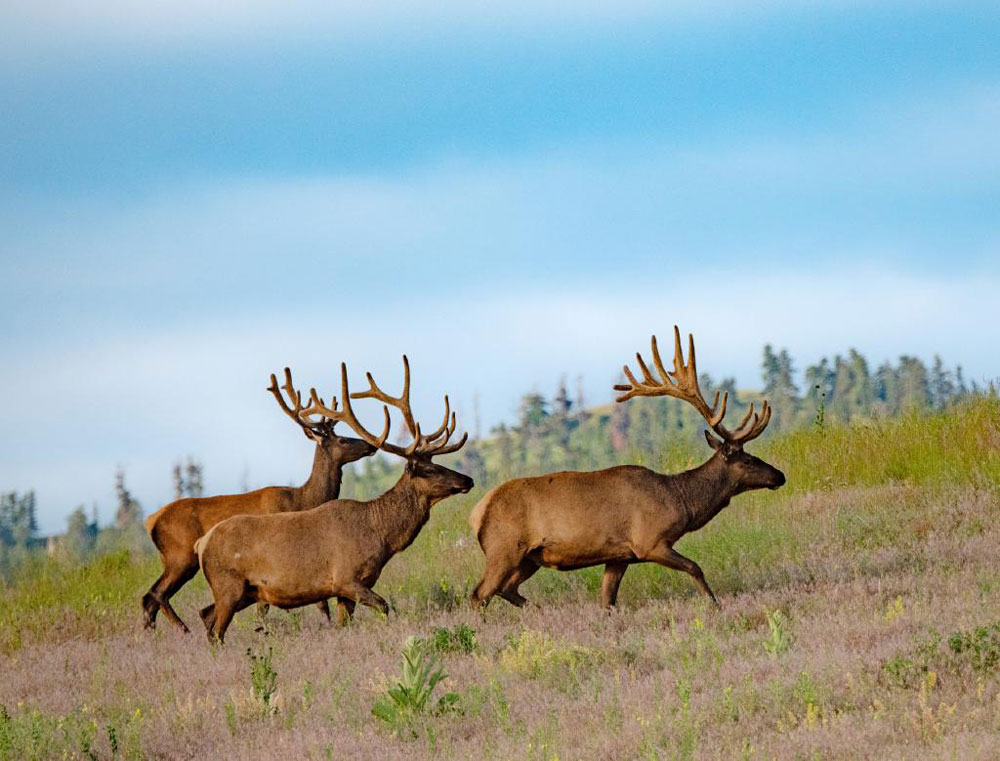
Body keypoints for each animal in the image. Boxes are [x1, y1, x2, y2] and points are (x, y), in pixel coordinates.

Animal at [141, 366, 376, 628]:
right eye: (342, 439)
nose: (370, 445)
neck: (304, 499)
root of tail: (150, 520)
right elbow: (302, 603)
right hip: (180, 556)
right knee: (157, 594)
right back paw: (183, 630)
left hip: (171, 559)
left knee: (149, 598)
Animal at [199, 356, 476, 640]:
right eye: (430, 469)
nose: (467, 480)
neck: (381, 535)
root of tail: (202, 543)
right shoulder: (345, 579)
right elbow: (384, 606)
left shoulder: (349, 589)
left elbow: (346, 623)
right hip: (228, 584)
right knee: (216, 630)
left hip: (245, 592)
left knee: (206, 614)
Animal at [472, 328, 784, 612]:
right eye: (748, 460)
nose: (780, 475)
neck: (681, 501)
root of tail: (477, 513)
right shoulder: (649, 541)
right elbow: (695, 567)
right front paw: (714, 605)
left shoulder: (620, 555)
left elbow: (608, 601)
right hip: (505, 549)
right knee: (480, 593)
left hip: (529, 557)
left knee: (506, 589)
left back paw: (540, 610)